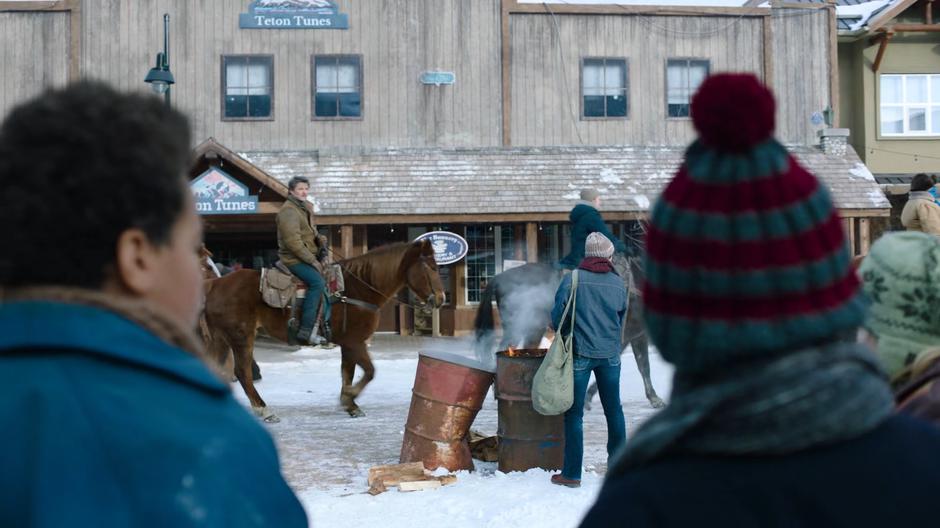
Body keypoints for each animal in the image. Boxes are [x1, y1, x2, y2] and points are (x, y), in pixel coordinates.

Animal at [204, 240, 446, 420]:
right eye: (431, 268)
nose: (441, 299)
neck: (358, 289)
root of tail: (215, 284)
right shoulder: (355, 342)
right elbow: (369, 371)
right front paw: (349, 396)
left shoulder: (348, 344)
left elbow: (348, 373)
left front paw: (350, 404)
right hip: (241, 338)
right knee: (242, 373)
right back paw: (263, 409)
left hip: (220, 340)